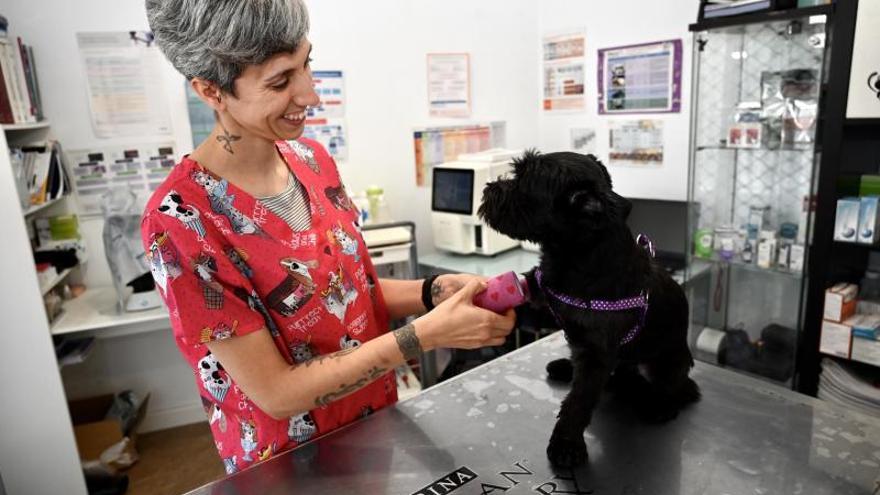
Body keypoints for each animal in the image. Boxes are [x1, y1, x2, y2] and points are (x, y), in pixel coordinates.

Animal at [478, 150, 696, 468]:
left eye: (523, 181)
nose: (488, 189)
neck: (575, 258)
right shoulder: (542, 291)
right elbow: (526, 295)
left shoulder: (595, 356)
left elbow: (578, 402)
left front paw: (566, 444)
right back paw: (566, 367)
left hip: (666, 362)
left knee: (672, 389)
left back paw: (660, 405)